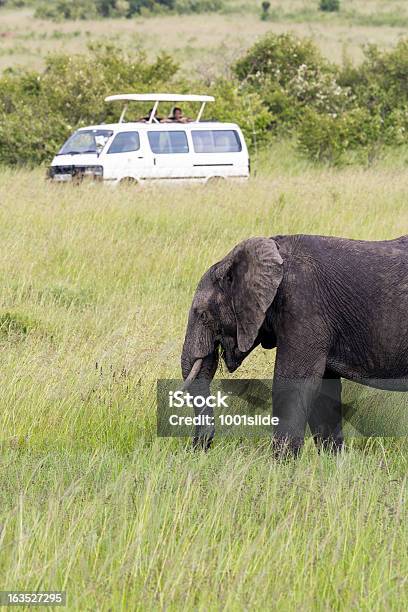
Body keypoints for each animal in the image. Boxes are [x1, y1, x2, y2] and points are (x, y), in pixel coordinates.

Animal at [181, 234, 408, 454]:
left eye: (203, 315)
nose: (197, 451)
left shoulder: (303, 307)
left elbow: (292, 384)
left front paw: (282, 462)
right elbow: (325, 392)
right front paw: (332, 461)